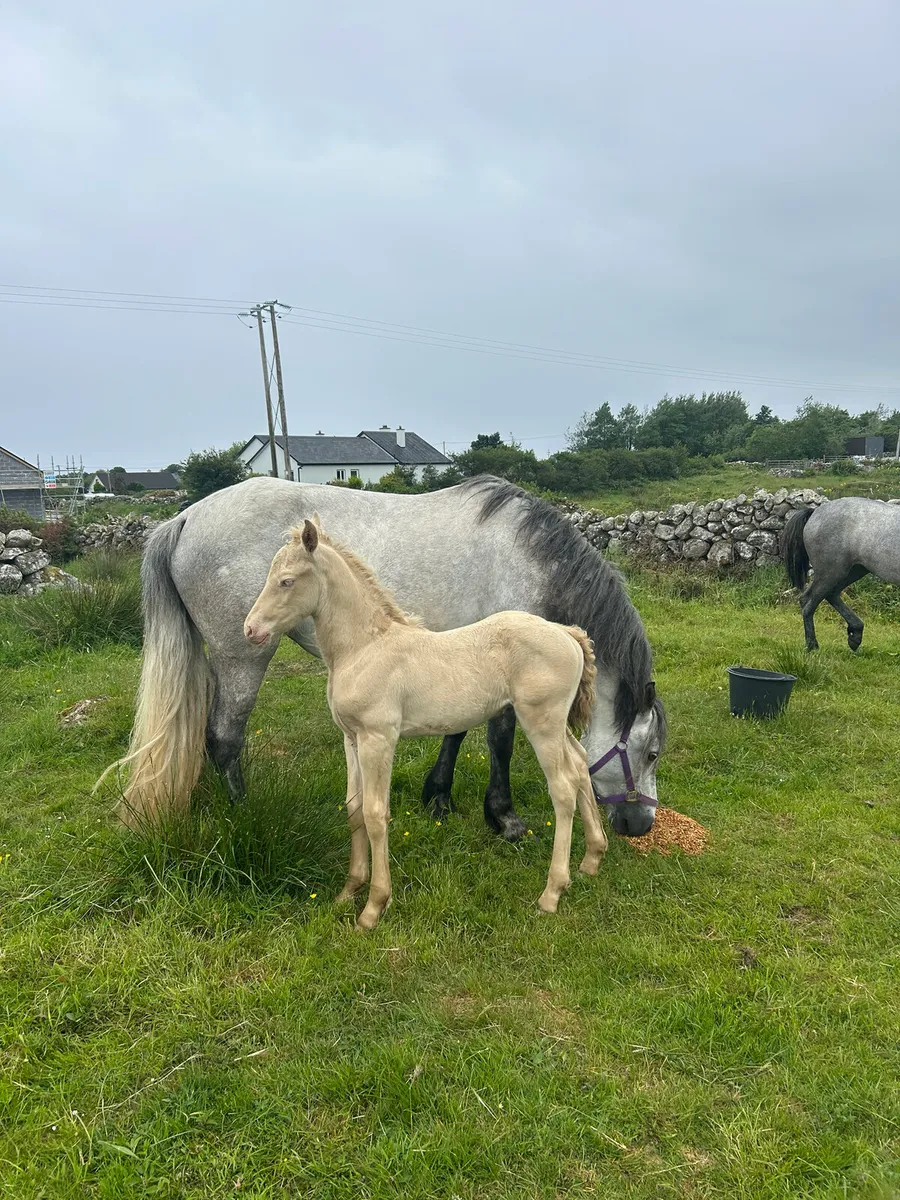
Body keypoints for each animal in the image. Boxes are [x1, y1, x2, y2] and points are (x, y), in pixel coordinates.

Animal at [103, 474, 665, 839]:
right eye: (652, 753)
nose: (641, 826)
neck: (528, 558)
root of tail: (185, 516)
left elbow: (457, 730)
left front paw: (438, 797)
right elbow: (500, 740)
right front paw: (503, 818)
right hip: (242, 654)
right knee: (223, 738)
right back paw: (244, 815)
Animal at [244, 517, 606, 928]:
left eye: (286, 581)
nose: (251, 630)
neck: (363, 648)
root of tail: (567, 633)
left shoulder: (378, 738)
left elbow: (375, 813)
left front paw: (373, 907)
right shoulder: (351, 738)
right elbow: (353, 807)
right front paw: (348, 892)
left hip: (540, 721)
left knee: (562, 787)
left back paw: (552, 892)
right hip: (556, 723)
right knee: (580, 766)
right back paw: (591, 860)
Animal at [783, 497, 900, 650]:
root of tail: (815, 512)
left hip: (852, 571)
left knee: (831, 594)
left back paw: (855, 635)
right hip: (831, 573)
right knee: (808, 600)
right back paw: (812, 646)